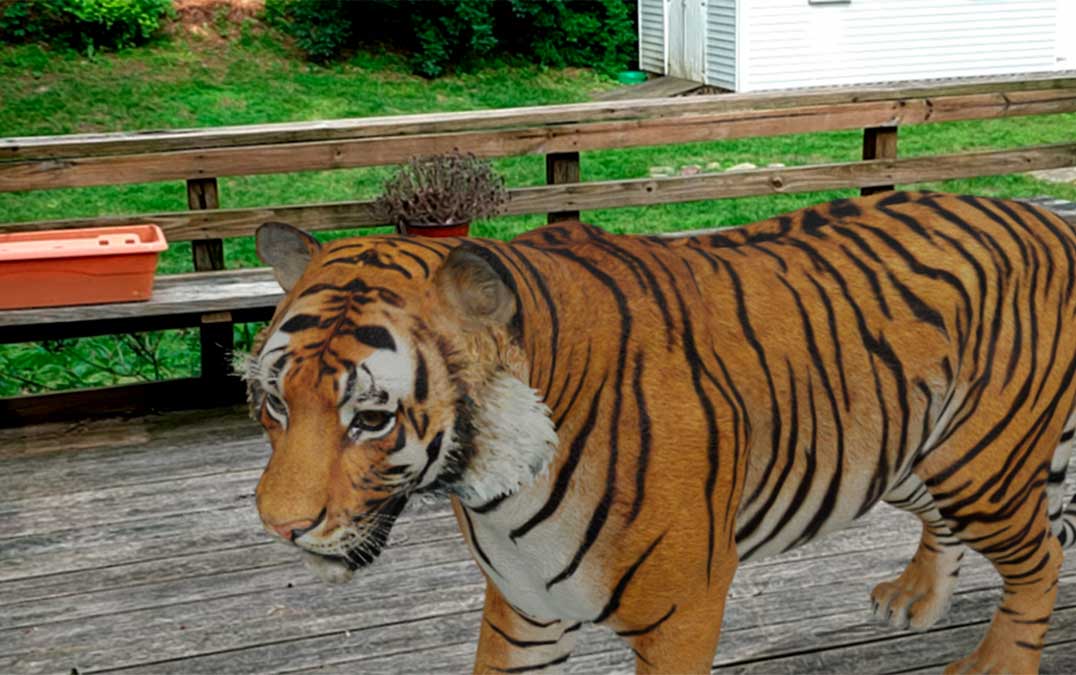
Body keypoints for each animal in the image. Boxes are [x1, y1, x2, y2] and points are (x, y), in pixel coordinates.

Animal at [244, 191, 1076, 675]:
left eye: (371, 417)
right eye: (274, 402)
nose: (280, 527)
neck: (497, 489)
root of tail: (1048, 216)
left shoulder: (684, 610)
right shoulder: (523, 605)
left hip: (983, 463)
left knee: (1042, 558)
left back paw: (994, 664)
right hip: (910, 452)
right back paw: (913, 598)